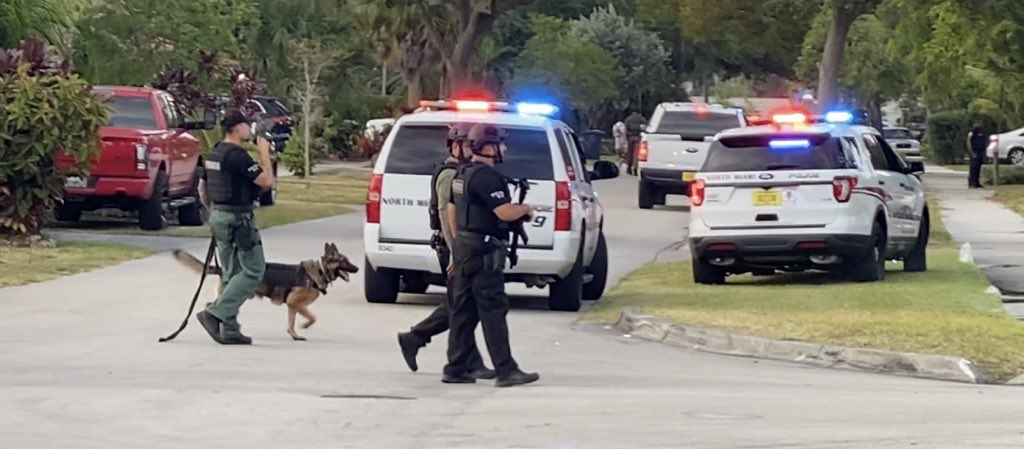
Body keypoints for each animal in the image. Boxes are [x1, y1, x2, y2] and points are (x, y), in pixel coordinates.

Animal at [177, 241, 364, 340]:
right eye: (344, 261)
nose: (358, 268)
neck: (320, 271)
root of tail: (224, 268)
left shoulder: (292, 306)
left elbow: (291, 323)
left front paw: (294, 335)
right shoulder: (296, 304)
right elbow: (313, 317)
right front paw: (305, 325)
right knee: (212, 306)